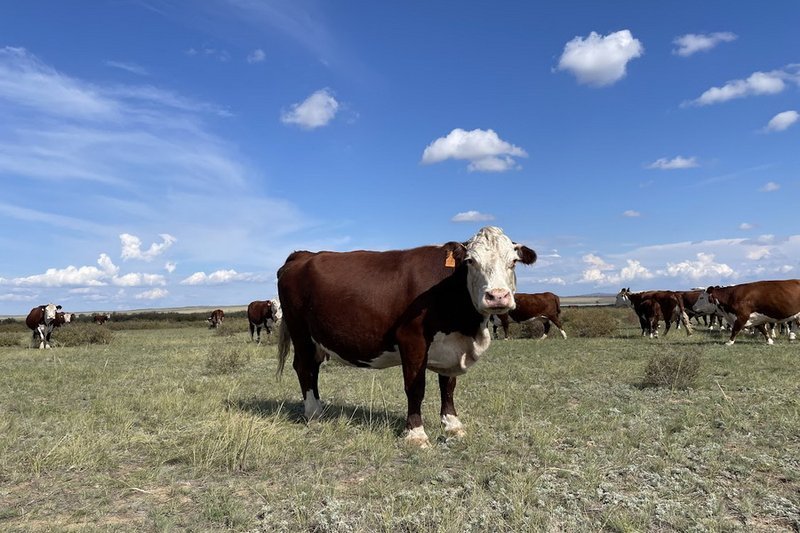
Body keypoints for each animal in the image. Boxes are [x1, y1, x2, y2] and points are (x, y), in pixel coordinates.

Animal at [276, 224, 536, 444]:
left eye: (513, 262)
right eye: (471, 261)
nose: (497, 296)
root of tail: (303, 255)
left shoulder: (451, 345)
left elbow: (448, 385)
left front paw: (452, 424)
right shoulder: (412, 338)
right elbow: (415, 386)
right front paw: (416, 433)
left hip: (316, 339)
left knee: (313, 368)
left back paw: (319, 409)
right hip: (300, 332)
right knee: (304, 368)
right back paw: (313, 414)